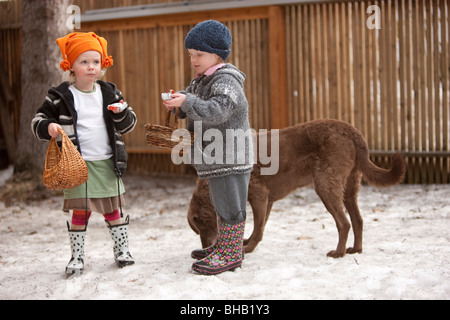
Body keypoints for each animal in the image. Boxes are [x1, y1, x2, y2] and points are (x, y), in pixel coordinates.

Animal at [188, 119, 406, 258]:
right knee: (358, 220)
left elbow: (258, 228)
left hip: (325, 185)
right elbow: (261, 226)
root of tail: (353, 132)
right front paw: (248, 242)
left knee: (344, 223)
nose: (204, 247)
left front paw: (247, 249)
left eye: (200, 226)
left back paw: (338, 253)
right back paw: (355, 249)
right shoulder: (267, 200)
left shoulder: (259, 195)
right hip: (349, 187)